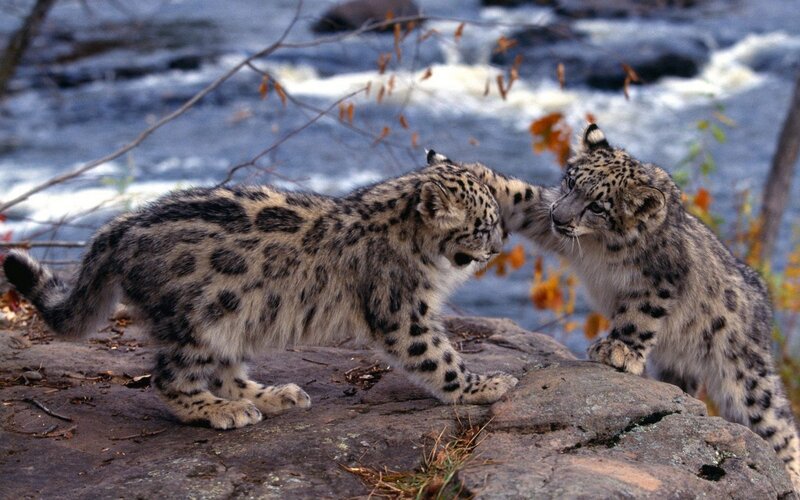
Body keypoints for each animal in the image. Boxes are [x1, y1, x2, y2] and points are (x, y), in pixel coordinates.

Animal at [2, 162, 518, 430]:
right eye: (484, 225)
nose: (499, 247)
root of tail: (122, 225)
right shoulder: (402, 312)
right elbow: (439, 358)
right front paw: (485, 385)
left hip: (233, 318)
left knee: (227, 370)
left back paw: (273, 395)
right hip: (198, 322)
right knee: (169, 378)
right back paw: (224, 411)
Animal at [426, 124, 800, 490]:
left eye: (598, 206)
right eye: (571, 182)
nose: (559, 216)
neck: (598, 247)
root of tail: (763, 306)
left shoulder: (660, 279)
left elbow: (639, 314)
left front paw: (618, 350)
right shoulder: (544, 214)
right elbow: (520, 196)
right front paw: (465, 170)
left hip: (744, 373)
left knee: (777, 423)